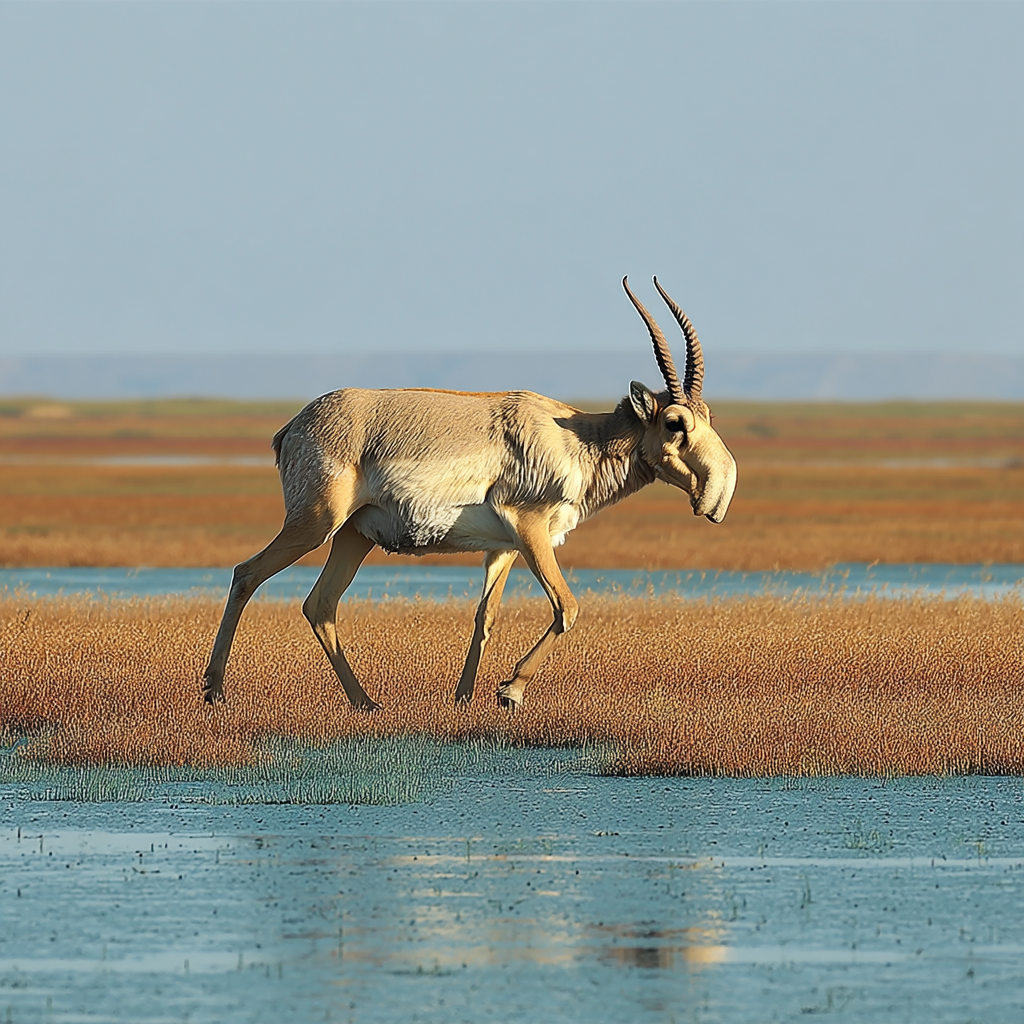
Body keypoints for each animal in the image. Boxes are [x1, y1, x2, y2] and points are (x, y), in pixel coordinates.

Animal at [202, 277, 737, 711]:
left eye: (708, 416)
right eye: (674, 423)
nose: (717, 497)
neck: (573, 436)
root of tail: (293, 427)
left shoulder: (504, 548)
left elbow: (486, 616)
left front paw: (464, 698)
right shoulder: (531, 531)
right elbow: (567, 607)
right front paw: (510, 692)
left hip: (353, 536)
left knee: (320, 605)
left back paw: (367, 703)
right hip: (315, 524)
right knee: (247, 574)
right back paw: (214, 691)